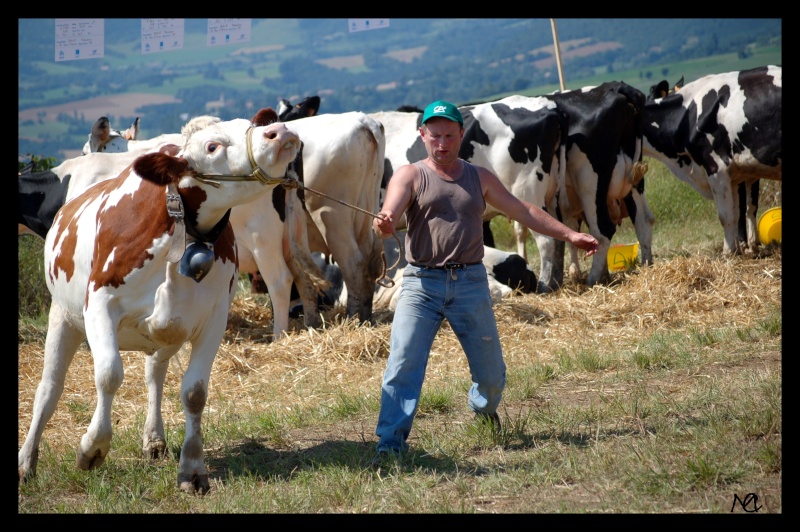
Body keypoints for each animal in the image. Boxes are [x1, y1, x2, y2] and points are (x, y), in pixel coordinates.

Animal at [21, 107, 304, 494]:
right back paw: (27, 462)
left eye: (252, 126)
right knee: (49, 390)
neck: (178, 232)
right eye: (212, 146)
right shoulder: (99, 306)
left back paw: (154, 439)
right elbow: (109, 374)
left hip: (167, 329)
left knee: (154, 373)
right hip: (63, 316)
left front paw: (192, 469)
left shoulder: (213, 318)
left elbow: (194, 392)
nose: (280, 132)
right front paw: (92, 448)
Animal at [644, 64, 780, 256]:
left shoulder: (717, 168)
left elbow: (727, 214)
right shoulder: (741, 174)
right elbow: (740, 210)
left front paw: (730, 251)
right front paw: (744, 247)